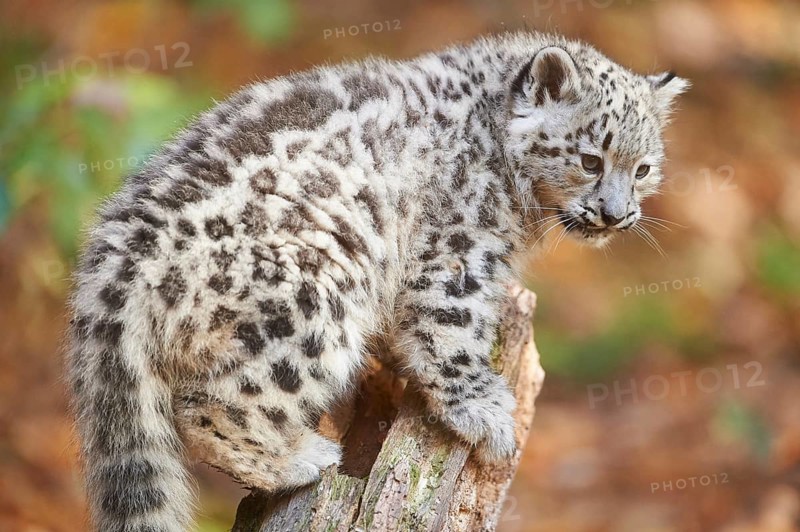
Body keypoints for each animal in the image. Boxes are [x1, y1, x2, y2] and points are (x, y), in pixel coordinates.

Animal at [65, 31, 688, 531]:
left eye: (643, 168)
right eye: (590, 159)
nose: (616, 214)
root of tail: (107, 277)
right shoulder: (454, 256)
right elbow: (451, 332)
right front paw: (488, 415)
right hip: (316, 296)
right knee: (208, 404)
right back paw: (296, 459)